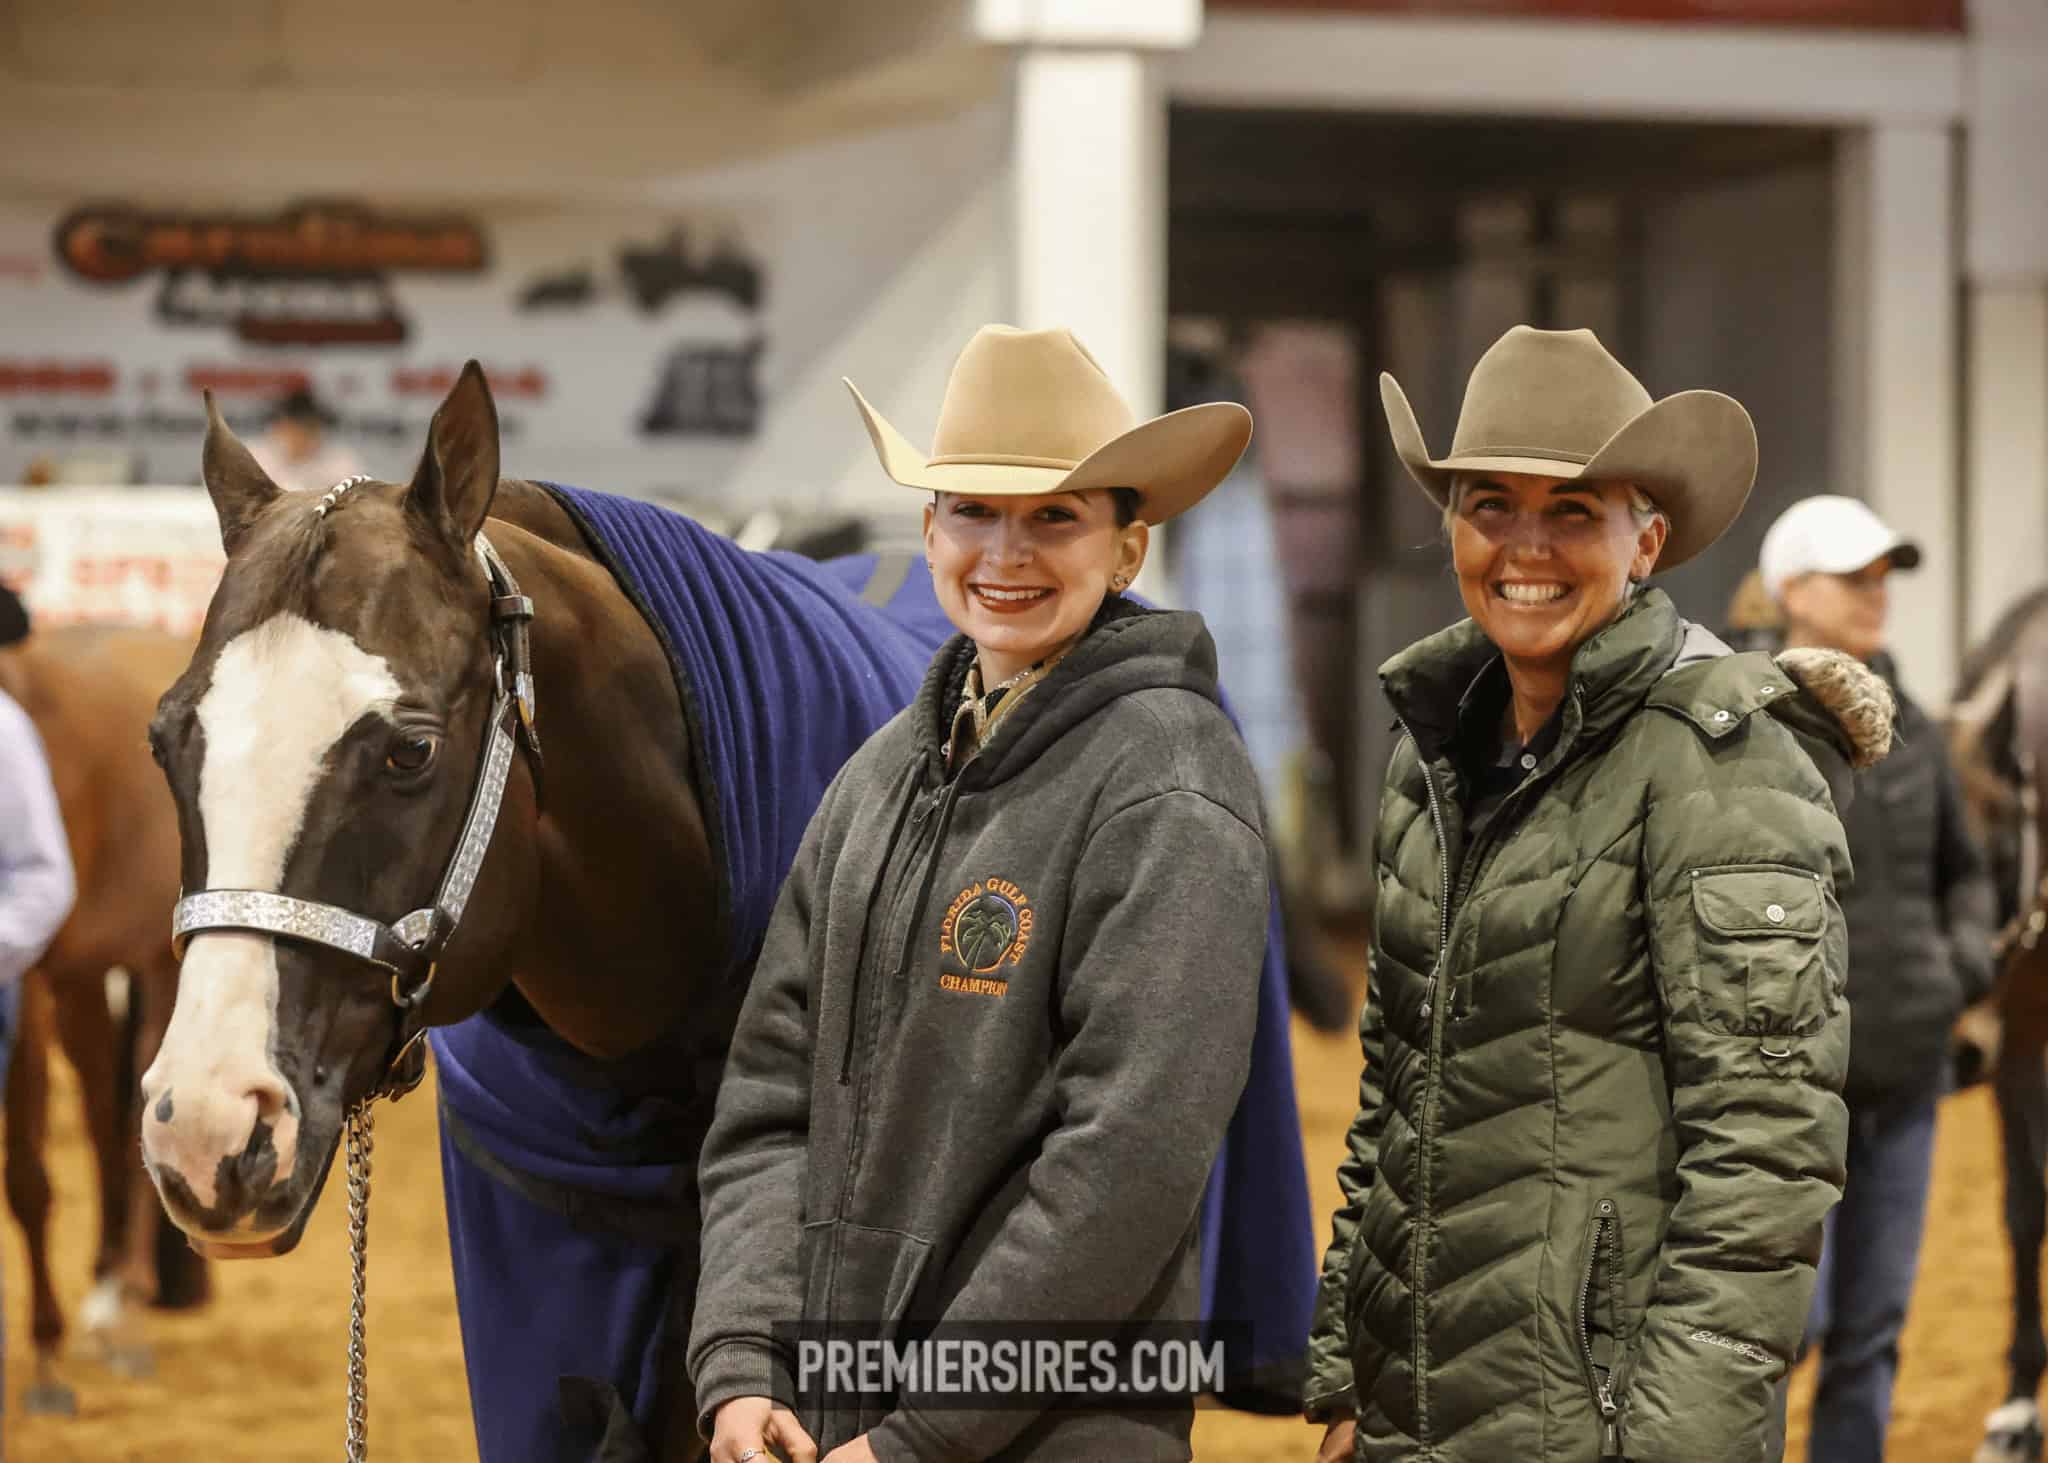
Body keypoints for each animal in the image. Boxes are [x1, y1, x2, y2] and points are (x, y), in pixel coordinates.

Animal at [0, 623, 207, 1407]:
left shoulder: (25, 974)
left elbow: (27, 1177)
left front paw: (45, 1351)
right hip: (84, 981)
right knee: (98, 1114)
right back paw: (103, 1290)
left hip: (161, 963)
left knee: (139, 1118)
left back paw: (128, 1311)